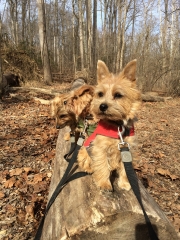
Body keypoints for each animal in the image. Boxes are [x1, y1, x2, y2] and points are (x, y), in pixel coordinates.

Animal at [77, 59, 141, 191]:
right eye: (100, 94)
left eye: (118, 95)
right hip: (84, 152)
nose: (102, 106)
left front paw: (125, 183)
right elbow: (102, 166)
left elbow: (125, 169)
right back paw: (89, 168)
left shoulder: (127, 149)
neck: (117, 126)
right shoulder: (100, 149)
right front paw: (104, 183)